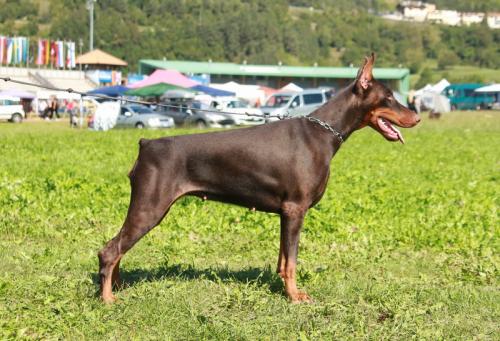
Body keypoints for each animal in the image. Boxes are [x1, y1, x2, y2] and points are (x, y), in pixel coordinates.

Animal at [98, 53, 422, 302]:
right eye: (389, 98)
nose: (417, 118)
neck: (324, 132)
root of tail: (146, 143)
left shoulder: (286, 213)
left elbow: (283, 259)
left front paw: (285, 289)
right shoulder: (296, 209)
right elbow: (292, 261)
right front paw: (295, 297)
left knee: (118, 248)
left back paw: (118, 287)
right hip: (150, 207)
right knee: (109, 250)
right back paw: (108, 299)